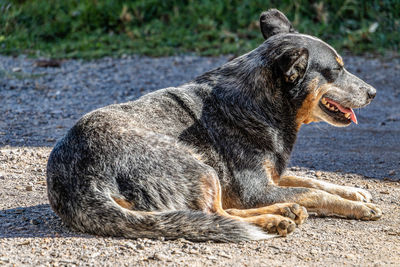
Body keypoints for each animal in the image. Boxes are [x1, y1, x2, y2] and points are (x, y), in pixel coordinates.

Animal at [47, 8, 382, 243]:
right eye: (336, 71)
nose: (373, 92)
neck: (259, 102)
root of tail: (78, 183)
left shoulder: (272, 176)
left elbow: (312, 181)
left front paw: (353, 192)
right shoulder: (255, 190)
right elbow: (312, 193)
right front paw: (357, 208)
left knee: (216, 213)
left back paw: (282, 212)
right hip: (199, 166)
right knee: (215, 214)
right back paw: (274, 219)